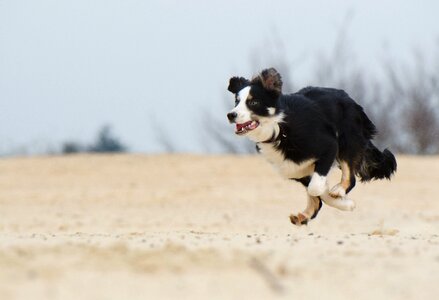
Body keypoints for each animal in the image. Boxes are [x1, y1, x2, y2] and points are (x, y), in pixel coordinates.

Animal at [227, 67, 398, 225]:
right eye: (236, 101)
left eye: (253, 102)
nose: (231, 115)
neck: (280, 129)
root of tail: (349, 98)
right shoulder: (293, 168)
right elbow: (317, 191)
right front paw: (344, 203)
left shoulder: (329, 146)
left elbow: (315, 188)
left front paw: (345, 203)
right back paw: (303, 216)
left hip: (347, 141)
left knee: (350, 176)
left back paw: (338, 190)